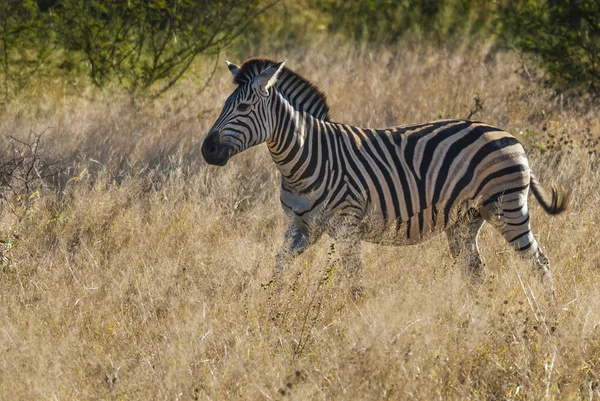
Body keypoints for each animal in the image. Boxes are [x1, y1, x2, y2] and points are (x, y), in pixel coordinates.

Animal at [200, 58, 568, 290]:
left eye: (243, 107)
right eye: (224, 105)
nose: (207, 150)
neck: (303, 159)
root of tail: (511, 136)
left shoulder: (347, 226)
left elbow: (353, 282)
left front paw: (351, 325)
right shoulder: (301, 226)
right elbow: (278, 268)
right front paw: (272, 312)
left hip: (507, 209)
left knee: (540, 262)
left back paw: (547, 316)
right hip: (465, 221)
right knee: (475, 272)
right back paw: (474, 321)